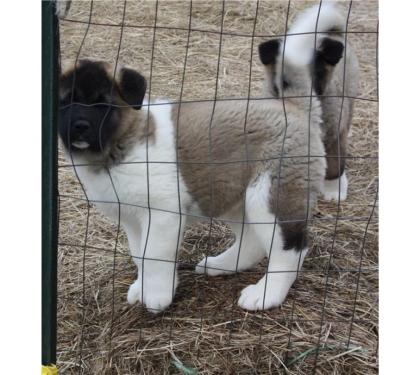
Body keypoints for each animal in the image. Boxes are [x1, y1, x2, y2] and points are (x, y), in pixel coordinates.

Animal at [260, 3, 358, 203]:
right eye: (284, 82)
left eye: (314, 75)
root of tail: (334, 33)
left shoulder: (334, 133)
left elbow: (335, 165)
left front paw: (334, 190)